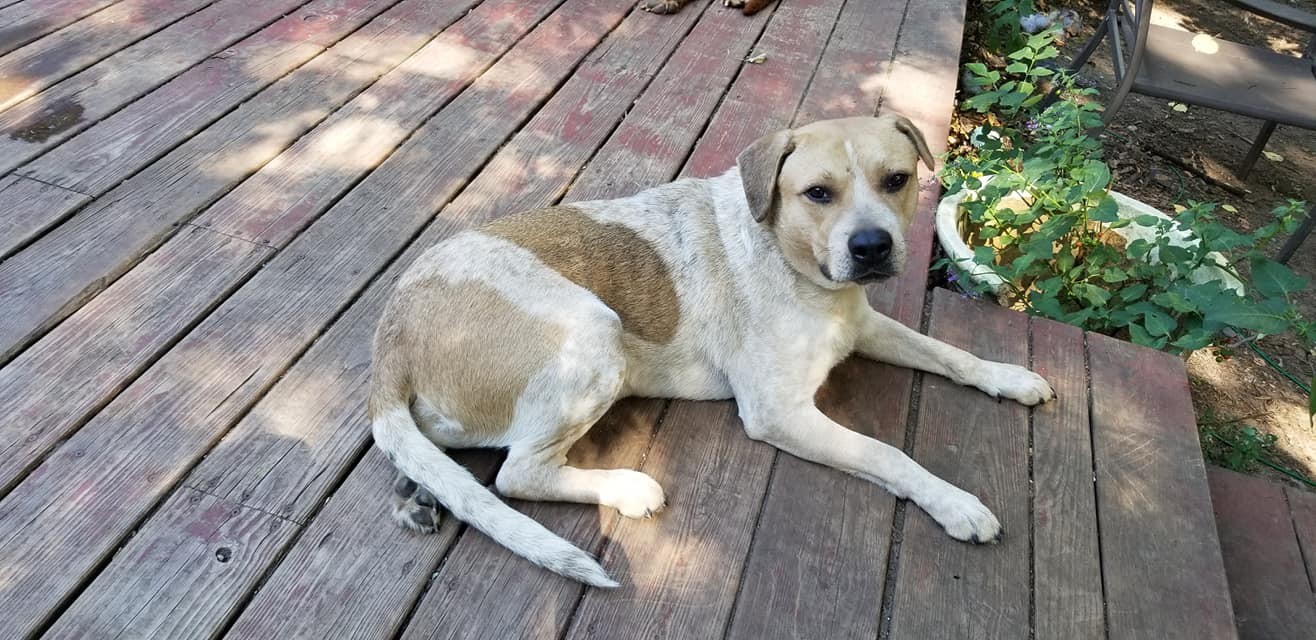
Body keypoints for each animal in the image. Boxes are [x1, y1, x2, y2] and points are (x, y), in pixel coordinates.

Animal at [368, 113, 1058, 584]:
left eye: (897, 180)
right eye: (818, 193)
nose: (871, 248)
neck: (796, 269)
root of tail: (390, 334)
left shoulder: (866, 327)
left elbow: (952, 355)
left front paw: (1010, 376)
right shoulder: (779, 414)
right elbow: (889, 455)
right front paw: (955, 503)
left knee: (447, 449)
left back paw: (419, 492)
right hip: (594, 331)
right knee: (518, 473)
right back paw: (627, 489)